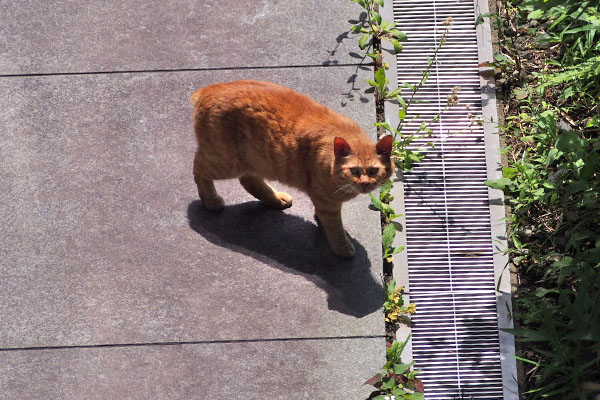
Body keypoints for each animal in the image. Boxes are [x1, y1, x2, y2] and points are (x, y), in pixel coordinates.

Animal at [192, 79, 394, 258]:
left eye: (373, 171)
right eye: (354, 171)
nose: (365, 184)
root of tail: (208, 90)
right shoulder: (326, 202)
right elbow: (335, 228)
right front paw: (342, 247)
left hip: (254, 160)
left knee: (249, 180)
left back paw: (275, 199)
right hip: (224, 162)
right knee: (198, 169)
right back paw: (211, 200)